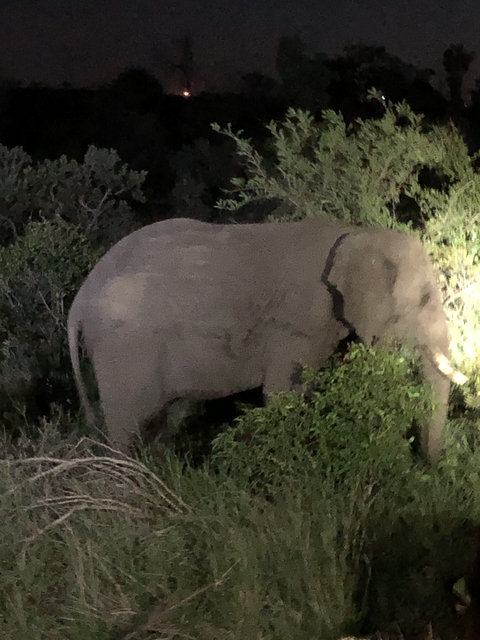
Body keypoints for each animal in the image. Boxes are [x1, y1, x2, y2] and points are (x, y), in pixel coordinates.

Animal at [67, 215, 467, 459]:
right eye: (426, 298)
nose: (431, 465)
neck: (356, 233)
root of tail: (78, 302)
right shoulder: (296, 325)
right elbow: (284, 393)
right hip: (124, 351)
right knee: (128, 432)